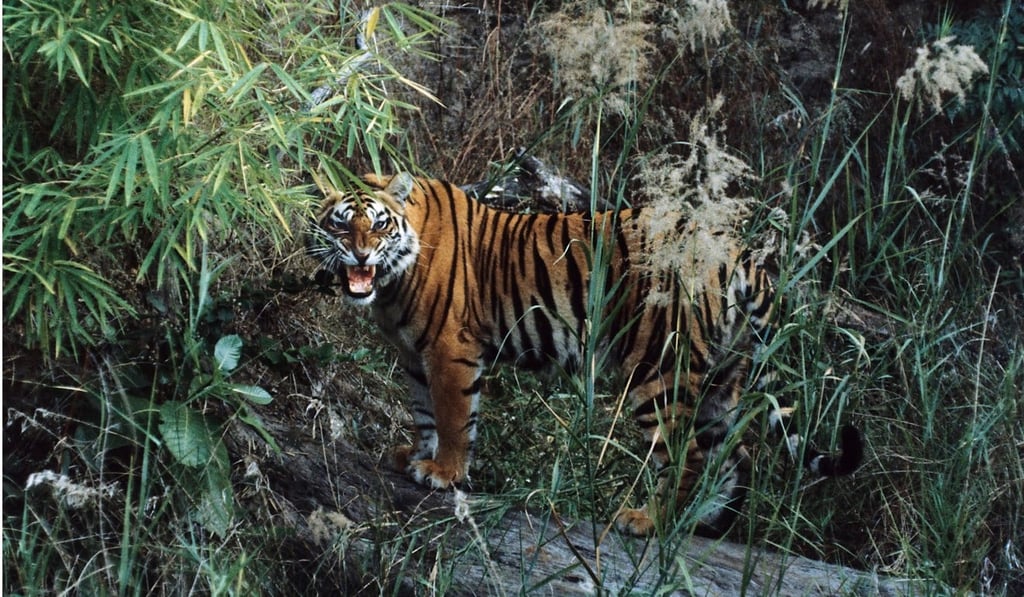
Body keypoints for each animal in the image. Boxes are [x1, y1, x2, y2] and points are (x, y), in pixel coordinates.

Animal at [306, 172, 863, 537]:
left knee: (687, 457)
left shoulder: (449, 351)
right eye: (340, 226)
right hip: (723, 373)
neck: (391, 284)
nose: (359, 254)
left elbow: (453, 417)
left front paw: (444, 472)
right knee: (731, 452)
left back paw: (648, 521)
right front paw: (417, 457)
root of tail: (730, 247)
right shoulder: (412, 356)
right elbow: (424, 414)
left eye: (378, 226)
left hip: (660, 371)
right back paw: (706, 522)